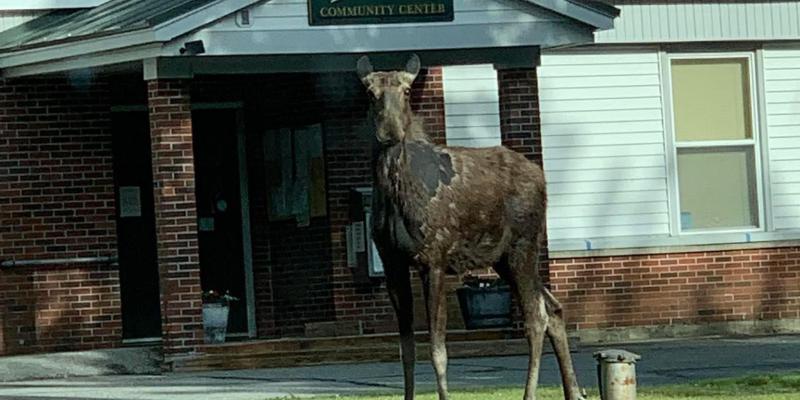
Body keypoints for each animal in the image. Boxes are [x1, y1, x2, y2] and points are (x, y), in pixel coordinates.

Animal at [360, 54, 584, 400]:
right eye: (370, 93)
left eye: (408, 91)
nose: (390, 131)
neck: (396, 190)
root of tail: (542, 178)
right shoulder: (391, 261)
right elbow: (405, 349)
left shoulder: (433, 259)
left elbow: (437, 349)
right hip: (503, 258)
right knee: (554, 307)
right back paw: (573, 391)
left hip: (523, 246)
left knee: (536, 317)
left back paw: (530, 393)